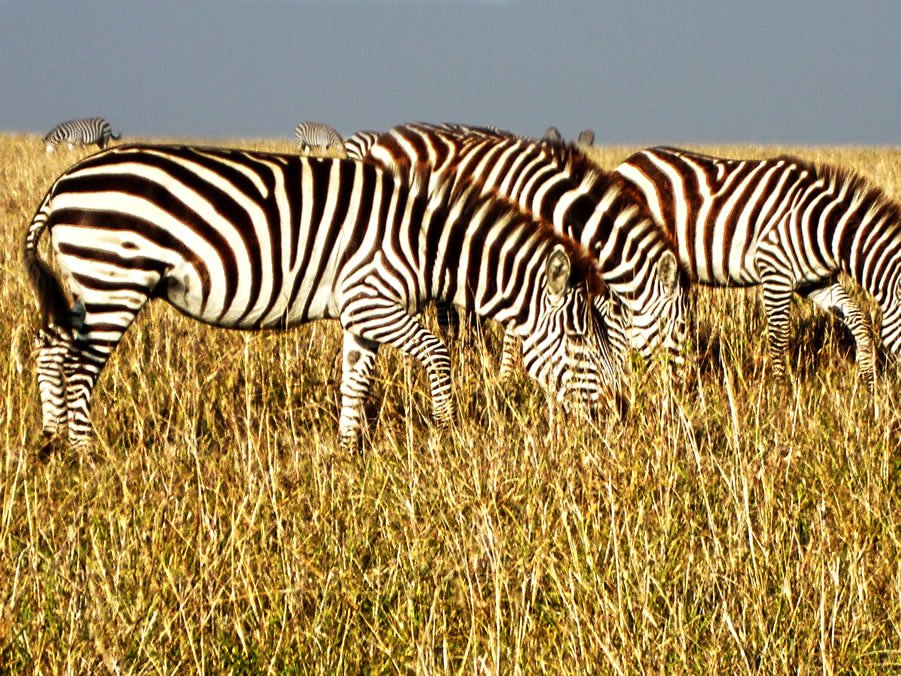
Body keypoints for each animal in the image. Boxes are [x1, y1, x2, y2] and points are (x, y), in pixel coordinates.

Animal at [24, 144, 626, 453]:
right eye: (579, 341)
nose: (607, 419)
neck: (427, 243)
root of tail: (63, 181)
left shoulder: (361, 315)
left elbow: (355, 381)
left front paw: (348, 449)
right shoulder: (374, 301)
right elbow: (438, 353)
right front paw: (446, 431)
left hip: (89, 284)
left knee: (49, 346)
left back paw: (51, 440)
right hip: (115, 277)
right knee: (78, 364)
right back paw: (86, 453)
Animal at [616, 146, 901, 385]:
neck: (821, 227)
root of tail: (631, 160)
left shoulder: (816, 281)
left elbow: (858, 320)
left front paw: (869, 384)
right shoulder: (775, 270)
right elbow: (779, 336)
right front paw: (781, 393)